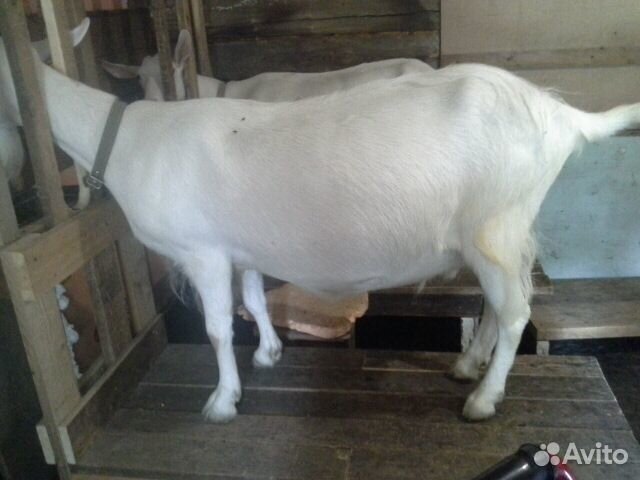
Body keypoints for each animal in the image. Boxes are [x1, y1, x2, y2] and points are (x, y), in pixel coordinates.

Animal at [2, 19, 638, 423]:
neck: (127, 140)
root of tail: (561, 114)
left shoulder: (203, 251)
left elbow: (216, 327)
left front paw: (222, 402)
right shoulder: (240, 248)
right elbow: (253, 301)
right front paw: (267, 355)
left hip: (496, 227)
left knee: (515, 313)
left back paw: (483, 399)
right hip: (496, 235)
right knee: (495, 305)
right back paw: (466, 366)